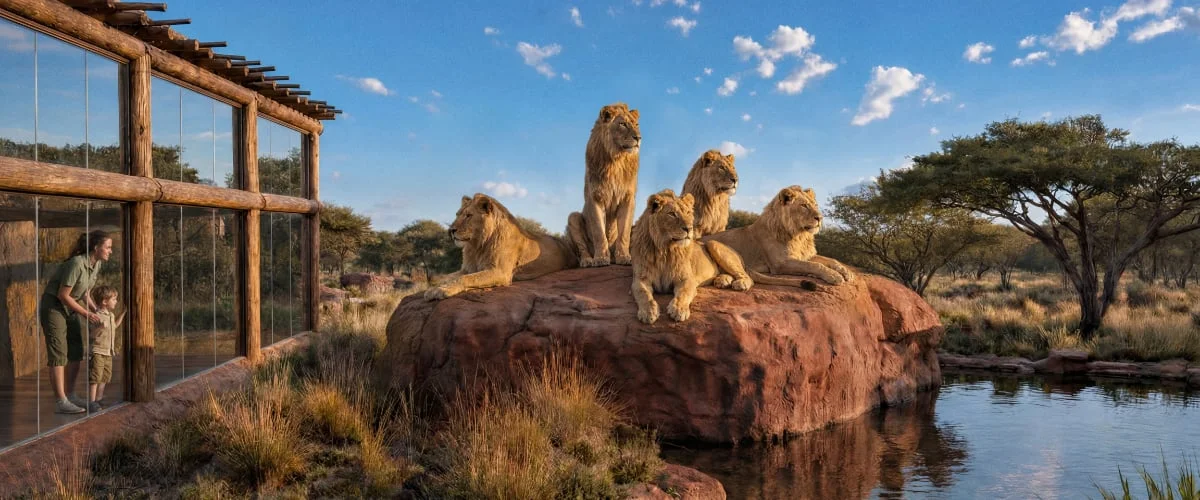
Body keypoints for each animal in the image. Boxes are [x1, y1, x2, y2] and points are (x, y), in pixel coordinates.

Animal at [424, 193, 579, 300]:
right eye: (457, 214)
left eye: (468, 215)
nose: (451, 230)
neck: (477, 245)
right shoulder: (466, 269)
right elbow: (447, 277)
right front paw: (434, 288)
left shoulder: (500, 271)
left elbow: (467, 278)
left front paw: (442, 290)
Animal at [566, 102, 641, 268]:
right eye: (622, 124)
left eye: (636, 124)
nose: (639, 138)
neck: (616, 160)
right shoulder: (595, 198)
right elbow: (599, 232)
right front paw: (600, 258)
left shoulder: (628, 199)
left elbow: (624, 233)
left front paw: (624, 257)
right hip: (573, 217)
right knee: (582, 249)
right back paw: (588, 260)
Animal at [629, 189, 755, 324]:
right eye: (672, 214)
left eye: (688, 212)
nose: (689, 228)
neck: (665, 250)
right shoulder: (641, 279)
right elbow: (643, 293)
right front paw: (648, 312)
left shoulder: (687, 279)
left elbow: (684, 293)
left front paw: (679, 310)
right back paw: (722, 280)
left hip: (712, 243)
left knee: (748, 277)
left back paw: (740, 283)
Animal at [702, 185, 854, 286]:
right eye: (804, 205)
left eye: (815, 205)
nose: (820, 218)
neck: (799, 236)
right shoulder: (780, 263)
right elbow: (814, 265)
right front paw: (834, 276)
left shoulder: (805, 255)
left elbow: (830, 260)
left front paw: (847, 273)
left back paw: (723, 279)